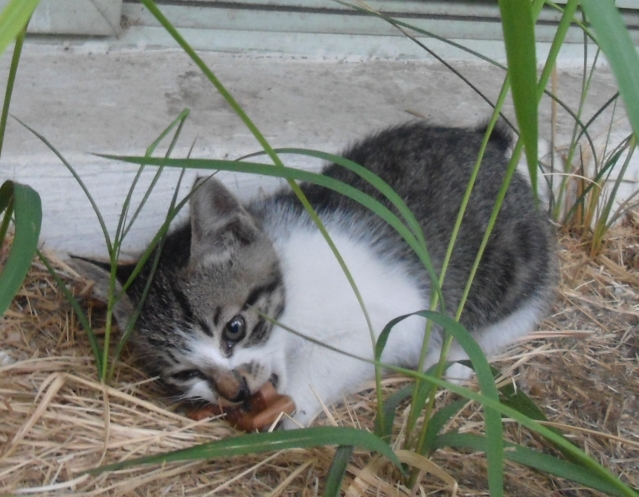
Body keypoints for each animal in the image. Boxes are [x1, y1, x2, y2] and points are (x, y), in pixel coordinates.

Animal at [74, 122, 556, 428]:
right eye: (185, 372)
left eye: (235, 328)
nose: (238, 393)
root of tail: (488, 143)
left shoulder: (396, 314)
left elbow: (336, 358)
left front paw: (295, 411)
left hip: (511, 271)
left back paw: (450, 359)